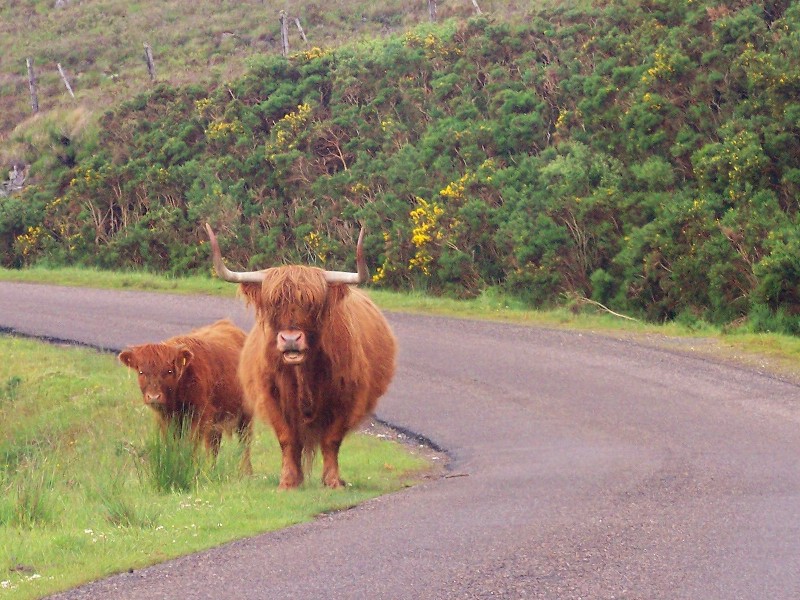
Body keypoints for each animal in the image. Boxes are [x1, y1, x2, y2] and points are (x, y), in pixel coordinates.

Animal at [115, 318, 252, 474]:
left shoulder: (199, 417)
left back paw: (246, 472)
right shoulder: (166, 420)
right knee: (215, 445)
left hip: (244, 416)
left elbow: (191, 445)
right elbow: (173, 445)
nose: (154, 397)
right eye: (141, 372)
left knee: (244, 442)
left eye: (169, 371)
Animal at [205, 224, 396, 488]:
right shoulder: (272, 397)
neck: (303, 374)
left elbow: (331, 440)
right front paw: (287, 482)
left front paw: (332, 481)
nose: (291, 339)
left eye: (313, 305)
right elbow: (287, 439)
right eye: (273, 304)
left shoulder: (346, 399)